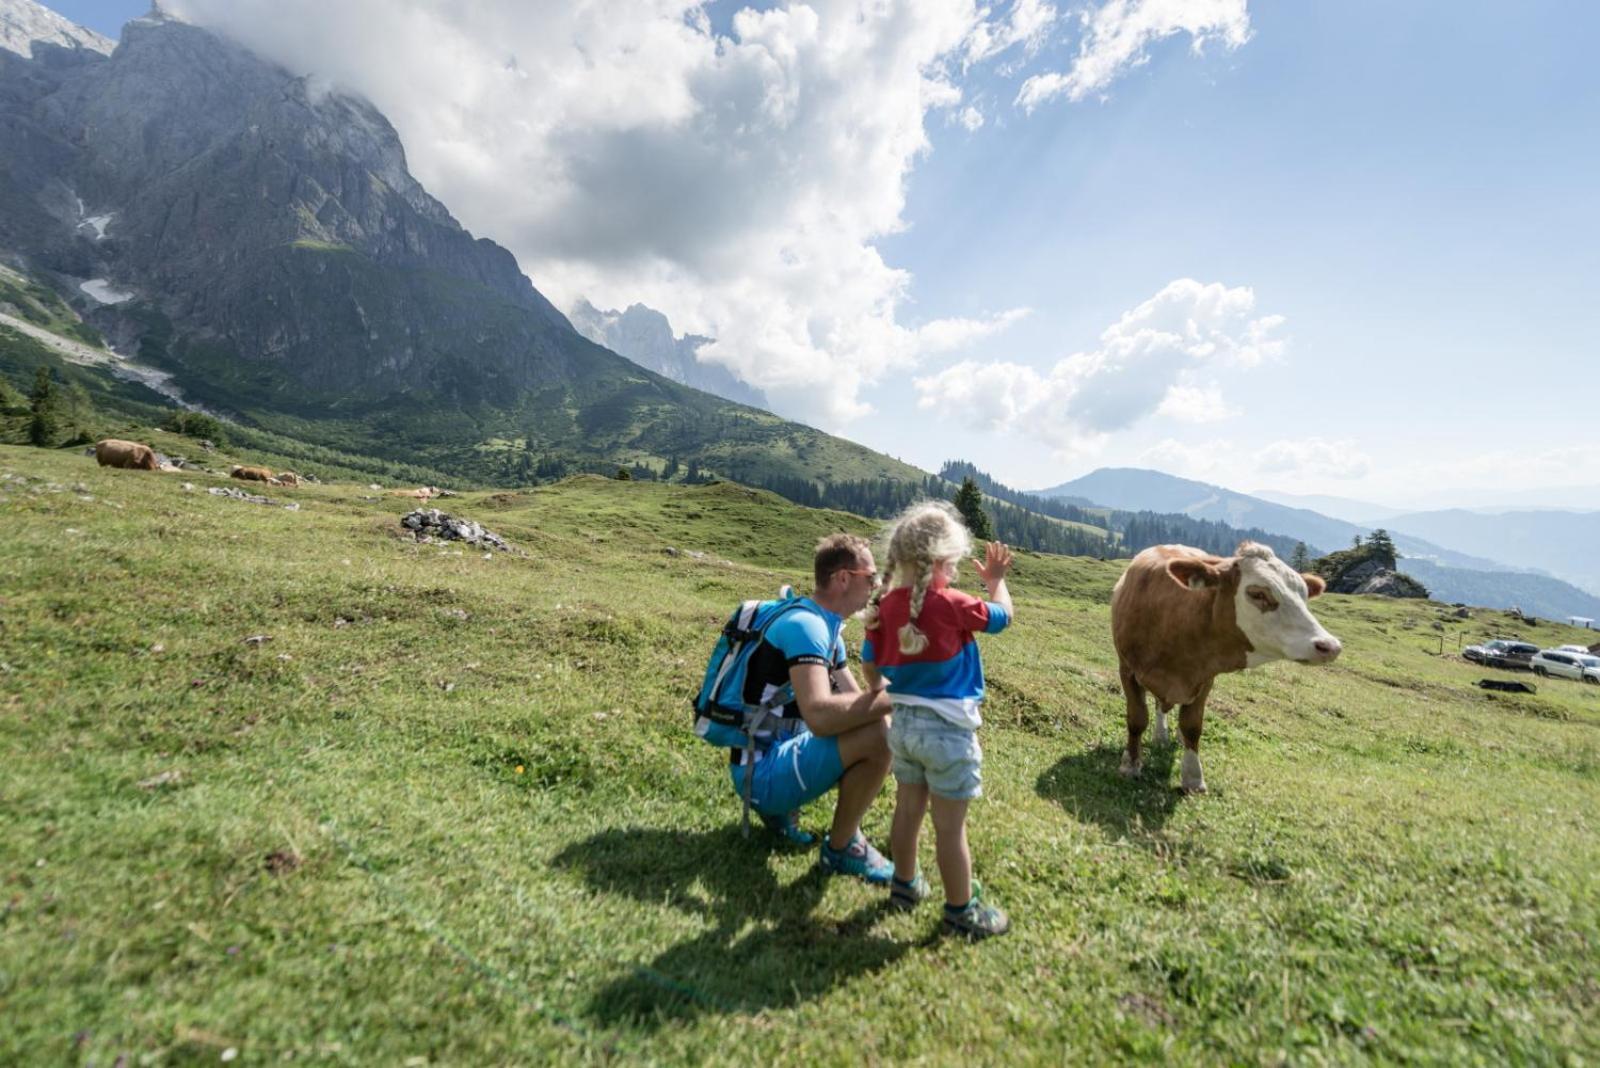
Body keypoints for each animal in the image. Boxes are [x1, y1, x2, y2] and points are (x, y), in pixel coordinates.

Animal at [1107, 543, 1344, 793]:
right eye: (1258, 594)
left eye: (1304, 596)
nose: (1330, 645)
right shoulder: (1127, 670)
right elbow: (1137, 719)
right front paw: (1130, 765)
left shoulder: (1204, 679)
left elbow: (1192, 726)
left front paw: (1193, 777)